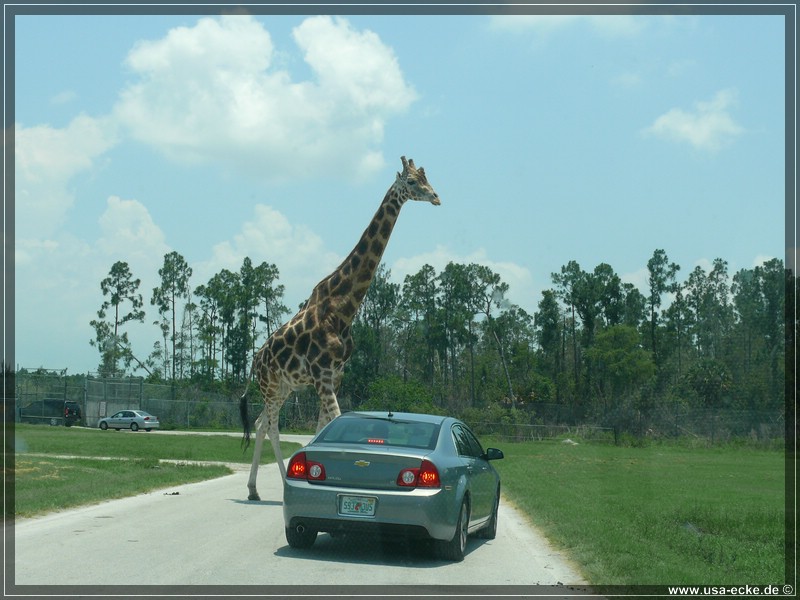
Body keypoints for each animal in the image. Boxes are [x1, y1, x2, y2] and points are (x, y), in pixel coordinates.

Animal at [241, 156, 440, 502]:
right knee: (273, 427)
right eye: (412, 182)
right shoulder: (322, 374)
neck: (344, 307)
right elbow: (332, 421)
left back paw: (254, 490)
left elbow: (324, 427)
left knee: (261, 422)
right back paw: (277, 484)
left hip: (284, 387)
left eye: (426, 177)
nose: (436, 197)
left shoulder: (335, 374)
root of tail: (255, 360)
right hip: (270, 385)